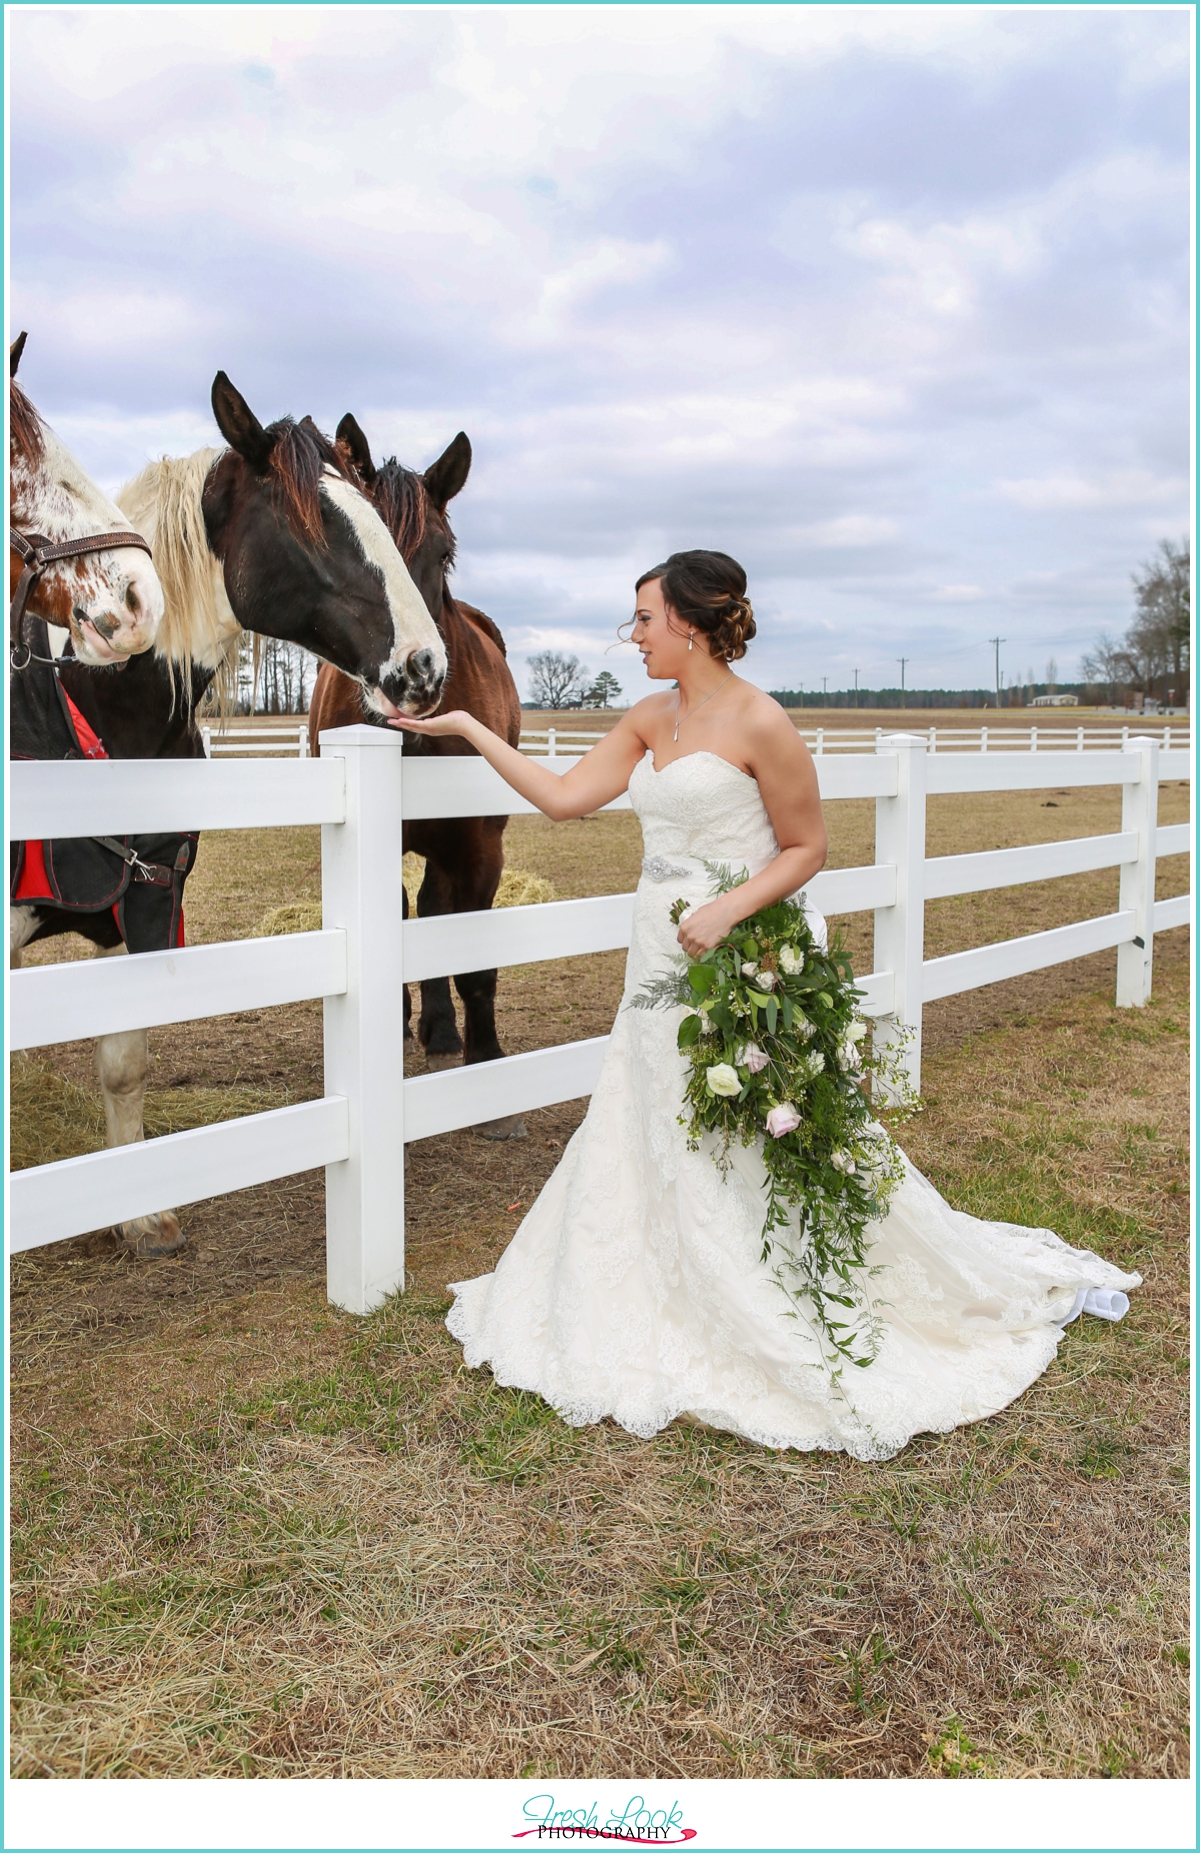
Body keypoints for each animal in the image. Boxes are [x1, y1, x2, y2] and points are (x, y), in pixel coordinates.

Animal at [307, 424, 522, 1134]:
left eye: (444, 554)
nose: (410, 679)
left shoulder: (480, 846)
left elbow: (470, 960)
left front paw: (486, 1064)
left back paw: (443, 1029)